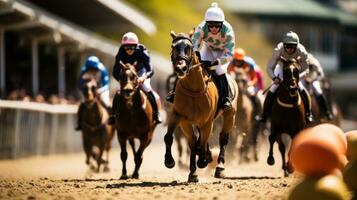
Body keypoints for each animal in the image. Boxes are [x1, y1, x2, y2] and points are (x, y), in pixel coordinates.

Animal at [163, 31, 236, 183]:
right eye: (173, 47)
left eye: (189, 47)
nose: (180, 68)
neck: (194, 89)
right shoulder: (179, 117)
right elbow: (173, 138)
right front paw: (170, 161)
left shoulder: (206, 122)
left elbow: (201, 143)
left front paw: (203, 160)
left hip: (229, 115)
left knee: (223, 138)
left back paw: (220, 167)